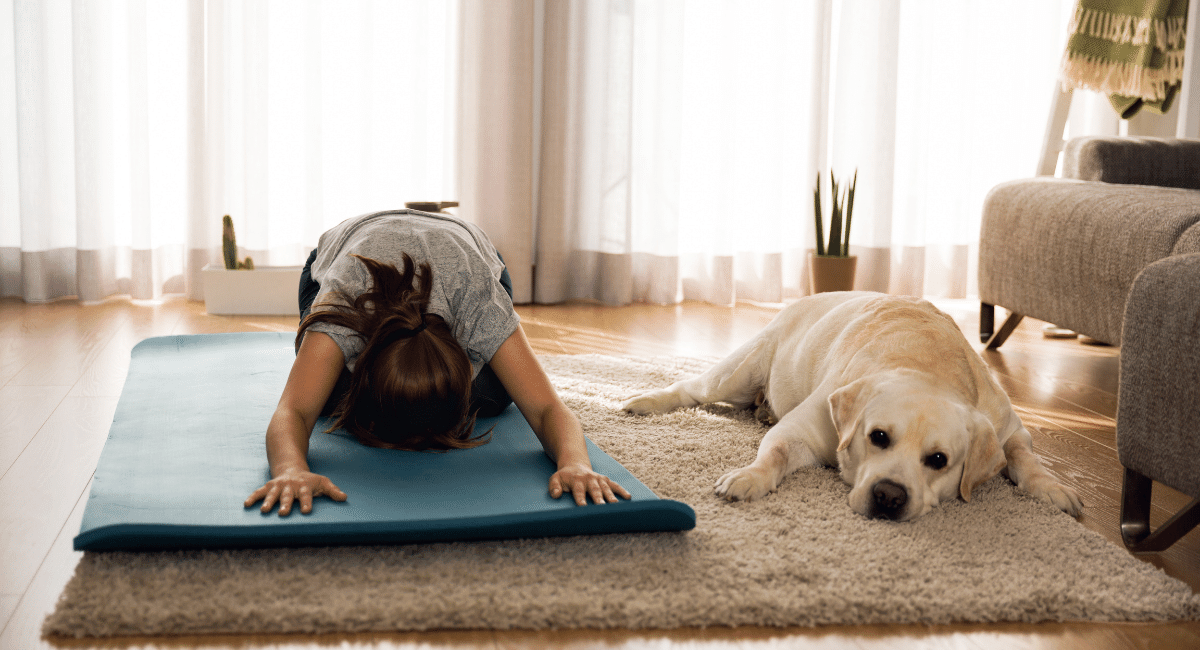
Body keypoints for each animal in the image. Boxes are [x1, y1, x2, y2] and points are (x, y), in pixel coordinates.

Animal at [624, 292, 1084, 522]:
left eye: (938, 460)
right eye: (877, 437)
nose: (888, 496)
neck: (926, 366)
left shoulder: (1009, 427)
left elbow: (1025, 457)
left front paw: (1052, 488)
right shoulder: (802, 429)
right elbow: (774, 453)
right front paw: (748, 477)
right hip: (738, 373)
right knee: (691, 388)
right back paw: (643, 401)